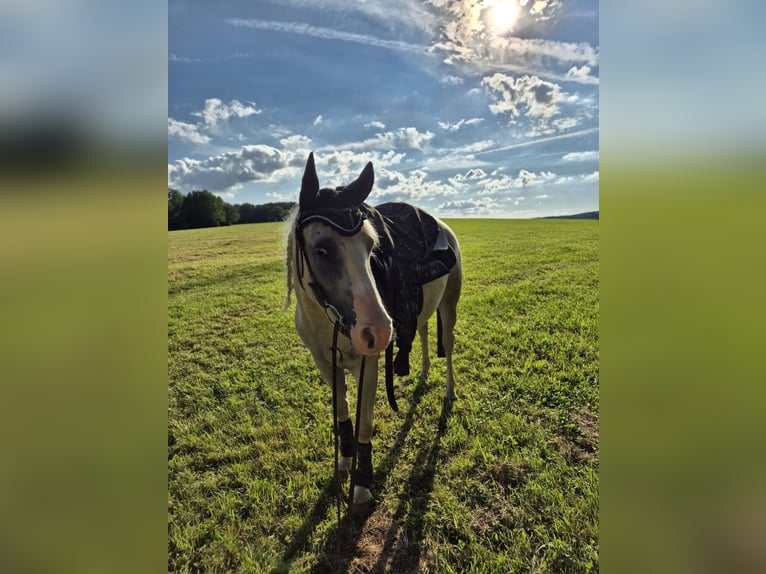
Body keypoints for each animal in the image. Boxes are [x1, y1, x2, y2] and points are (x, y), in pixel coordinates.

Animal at [284, 153, 460, 508]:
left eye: (371, 245)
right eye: (322, 249)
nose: (378, 330)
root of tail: (442, 226)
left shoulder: (369, 365)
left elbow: (364, 422)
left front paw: (362, 483)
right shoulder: (325, 363)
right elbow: (343, 412)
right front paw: (344, 459)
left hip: (449, 303)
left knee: (447, 343)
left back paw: (449, 391)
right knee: (421, 332)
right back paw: (422, 372)